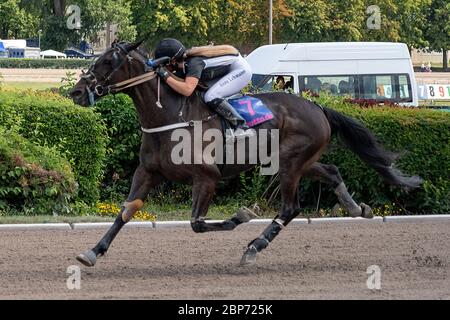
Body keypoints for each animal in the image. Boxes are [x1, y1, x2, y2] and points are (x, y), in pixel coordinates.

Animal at [70, 42, 422, 268]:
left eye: (107, 61)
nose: (76, 92)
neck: (168, 115)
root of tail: (317, 106)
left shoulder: (207, 176)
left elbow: (198, 223)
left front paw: (242, 215)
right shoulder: (147, 172)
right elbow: (126, 211)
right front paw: (92, 251)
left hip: (291, 165)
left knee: (290, 207)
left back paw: (254, 247)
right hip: (296, 161)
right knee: (332, 172)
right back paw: (356, 207)